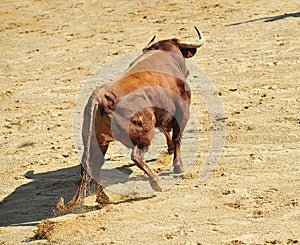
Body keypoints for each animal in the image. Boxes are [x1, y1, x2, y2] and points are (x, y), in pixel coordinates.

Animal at [58, 27, 204, 211]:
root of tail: (101, 97)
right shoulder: (182, 111)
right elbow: (177, 137)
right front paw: (179, 167)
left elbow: (167, 131)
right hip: (143, 134)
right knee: (136, 156)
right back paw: (155, 182)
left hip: (97, 140)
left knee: (93, 165)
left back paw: (103, 198)